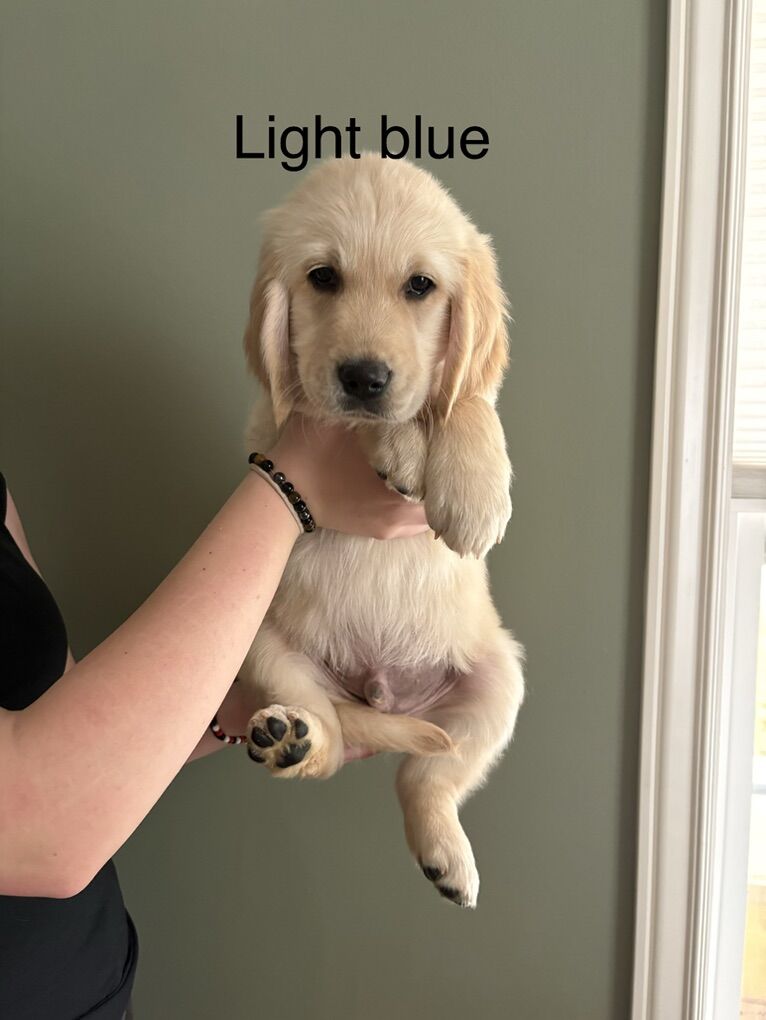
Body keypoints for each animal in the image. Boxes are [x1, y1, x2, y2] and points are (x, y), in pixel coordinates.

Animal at [238, 153, 524, 908]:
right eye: (323, 278)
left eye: (420, 286)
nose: (364, 377)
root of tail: (380, 691)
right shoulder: (283, 419)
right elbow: (341, 416)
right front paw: (397, 445)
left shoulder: (465, 385)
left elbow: (468, 399)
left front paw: (473, 487)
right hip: (263, 647)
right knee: (336, 743)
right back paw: (292, 738)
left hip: (499, 684)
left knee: (426, 779)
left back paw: (446, 852)